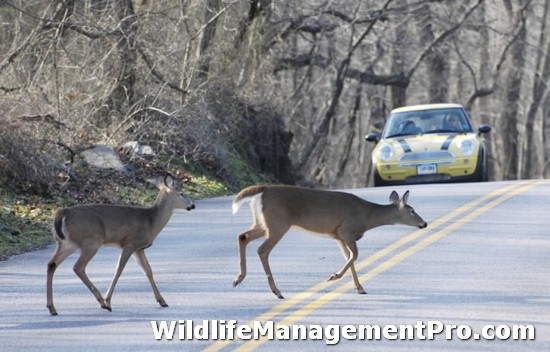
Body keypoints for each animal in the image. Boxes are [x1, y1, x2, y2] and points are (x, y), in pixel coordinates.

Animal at [47, 175, 196, 314]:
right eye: (182, 193)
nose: (193, 205)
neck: (151, 221)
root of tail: (62, 213)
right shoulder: (130, 242)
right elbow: (119, 270)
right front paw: (108, 300)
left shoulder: (139, 248)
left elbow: (148, 271)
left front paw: (162, 301)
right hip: (91, 241)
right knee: (78, 267)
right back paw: (102, 302)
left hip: (67, 244)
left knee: (52, 264)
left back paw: (52, 308)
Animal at [231, 186, 430, 298]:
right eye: (412, 210)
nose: (424, 223)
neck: (367, 216)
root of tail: (261, 191)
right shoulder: (346, 229)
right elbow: (354, 255)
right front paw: (334, 276)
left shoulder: (339, 235)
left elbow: (349, 257)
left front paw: (360, 288)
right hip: (278, 223)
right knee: (262, 250)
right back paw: (276, 291)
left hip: (263, 223)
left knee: (242, 236)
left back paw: (238, 278)